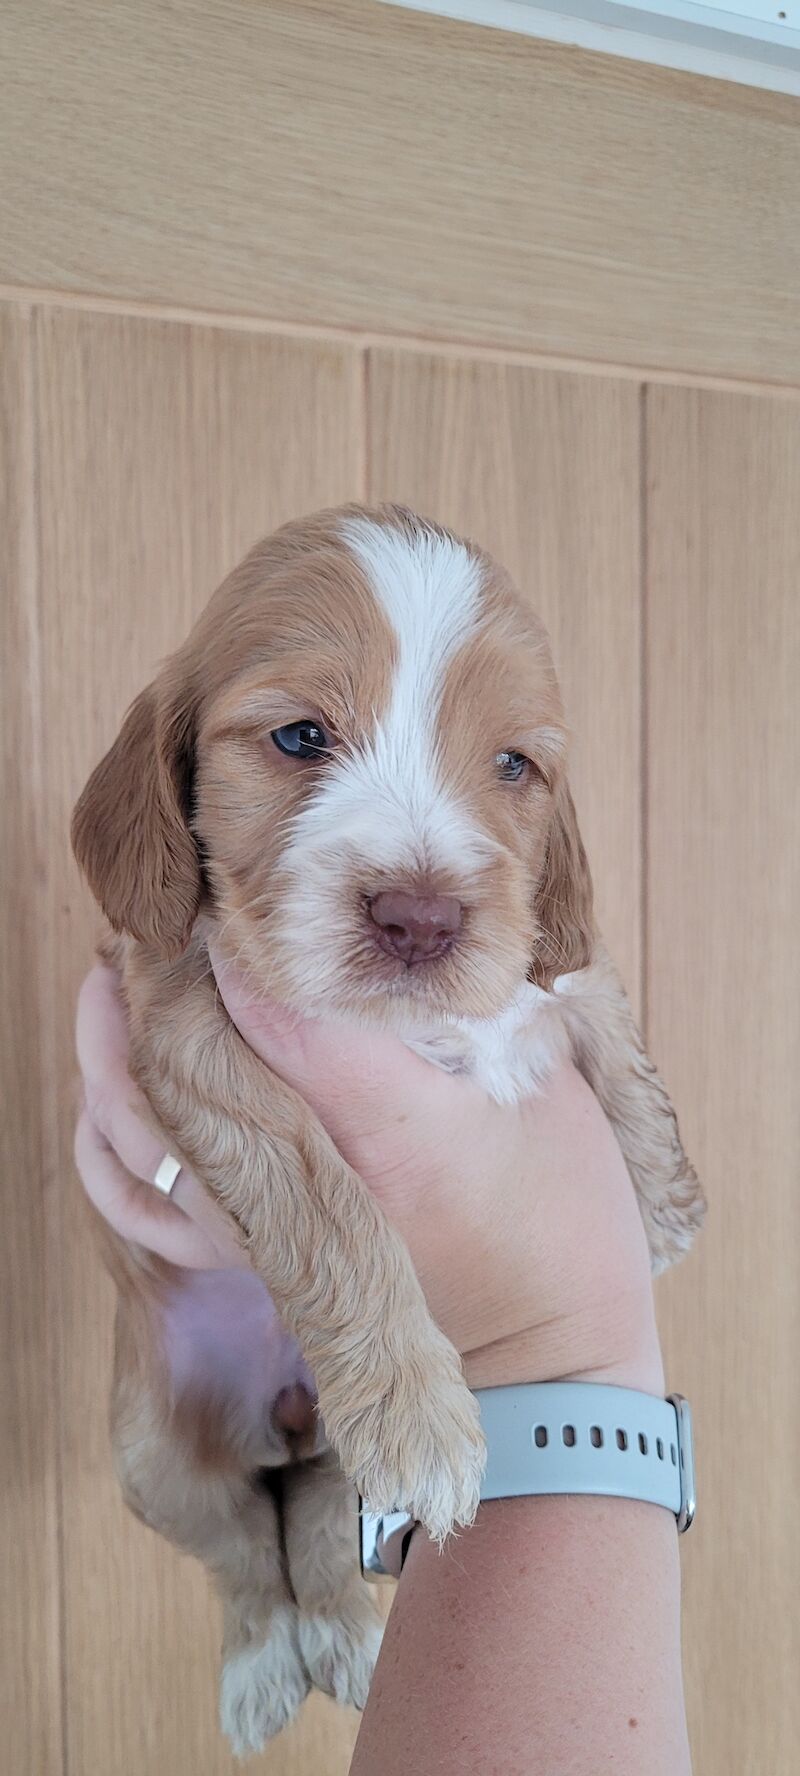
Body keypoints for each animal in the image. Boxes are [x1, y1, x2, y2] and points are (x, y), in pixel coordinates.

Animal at [72, 500, 704, 1747]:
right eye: (299, 737)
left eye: (512, 764)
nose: (419, 917)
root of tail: (278, 1417)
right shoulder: (183, 1019)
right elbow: (323, 1198)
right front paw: (414, 1412)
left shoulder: (528, 935)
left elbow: (586, 982)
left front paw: (658, 1192)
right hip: (152, 1448)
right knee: (236, 1549)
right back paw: (264, 1667)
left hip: (312, 1455)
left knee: (317, 1517)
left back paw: (348, 1639)